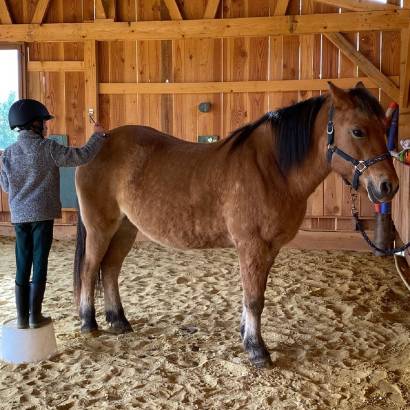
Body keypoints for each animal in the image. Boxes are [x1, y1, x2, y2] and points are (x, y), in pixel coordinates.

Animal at [73, 82, 398, 368]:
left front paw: (246, 337)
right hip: (100, 227)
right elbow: (254, 299)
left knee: (110, 269)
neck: (272, 168)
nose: (388, 186)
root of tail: (98, 144)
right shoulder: (252, 245)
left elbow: (253, 295)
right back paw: (89, 323)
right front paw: (257, 351)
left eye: (385, 129)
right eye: (357, 130)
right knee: (90, 270)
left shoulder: (269, 248)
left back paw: (119, 321)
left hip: (125, 228)